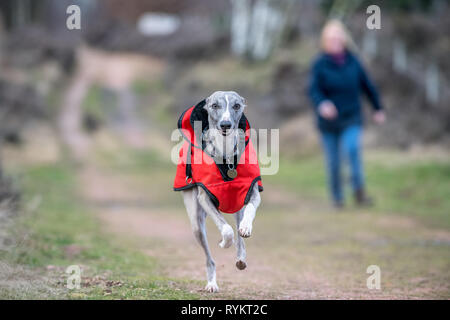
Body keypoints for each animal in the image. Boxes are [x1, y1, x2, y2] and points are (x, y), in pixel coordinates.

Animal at [173, 90, 264, 292]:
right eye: (215, 105)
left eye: (237, 105)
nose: (225, 125)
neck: (226, 157)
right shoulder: (205, 199)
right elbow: (227, 230)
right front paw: (224, 242)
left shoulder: (252, 191)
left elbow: (249, 213)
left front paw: (246, 227)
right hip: (197, 224)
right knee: (210, 258)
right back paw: (212, 283)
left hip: (237, 209)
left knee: (239, 234)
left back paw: (241, 257)